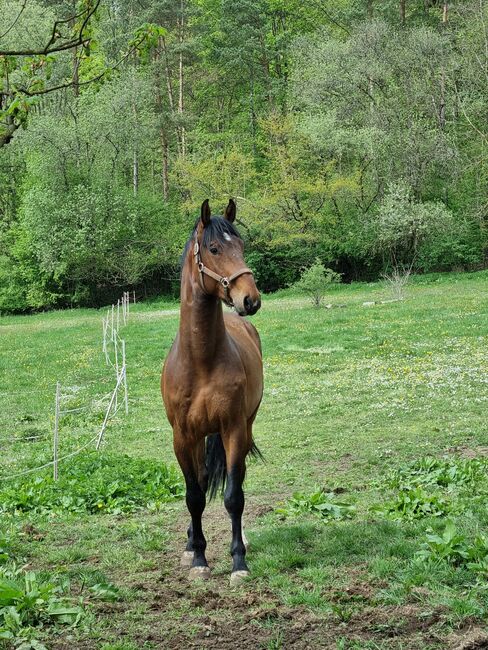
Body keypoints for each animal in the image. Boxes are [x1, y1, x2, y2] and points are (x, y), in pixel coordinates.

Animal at [161, 196, 264, 584]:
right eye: (215, 248)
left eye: (242, 246)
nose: (250, 299)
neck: (201, 361)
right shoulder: (182, 435)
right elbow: (194, 495)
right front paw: (199, 559)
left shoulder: (233, 428)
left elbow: (234, 495)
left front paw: (238, 563)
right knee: (203, 483)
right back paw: (192, 543)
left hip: (244, 427)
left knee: (237, 480)